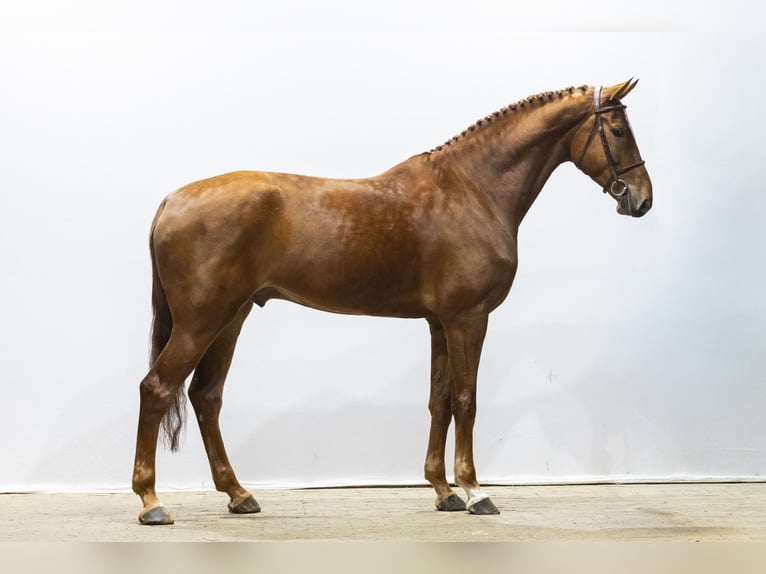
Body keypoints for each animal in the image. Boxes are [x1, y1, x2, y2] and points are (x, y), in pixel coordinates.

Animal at [132, 80, 652, 525]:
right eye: (619, 130)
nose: (641, 200)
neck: (473, 189)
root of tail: (171, 200)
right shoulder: (468, 318)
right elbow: (466, 400)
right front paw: (475, 492)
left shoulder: (439, 322)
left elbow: (439, 401)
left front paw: (443, 492)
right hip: (202, 321)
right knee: (156, 387)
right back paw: (152, 502)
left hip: (231, 318)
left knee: (206, 396)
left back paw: (238, 494)